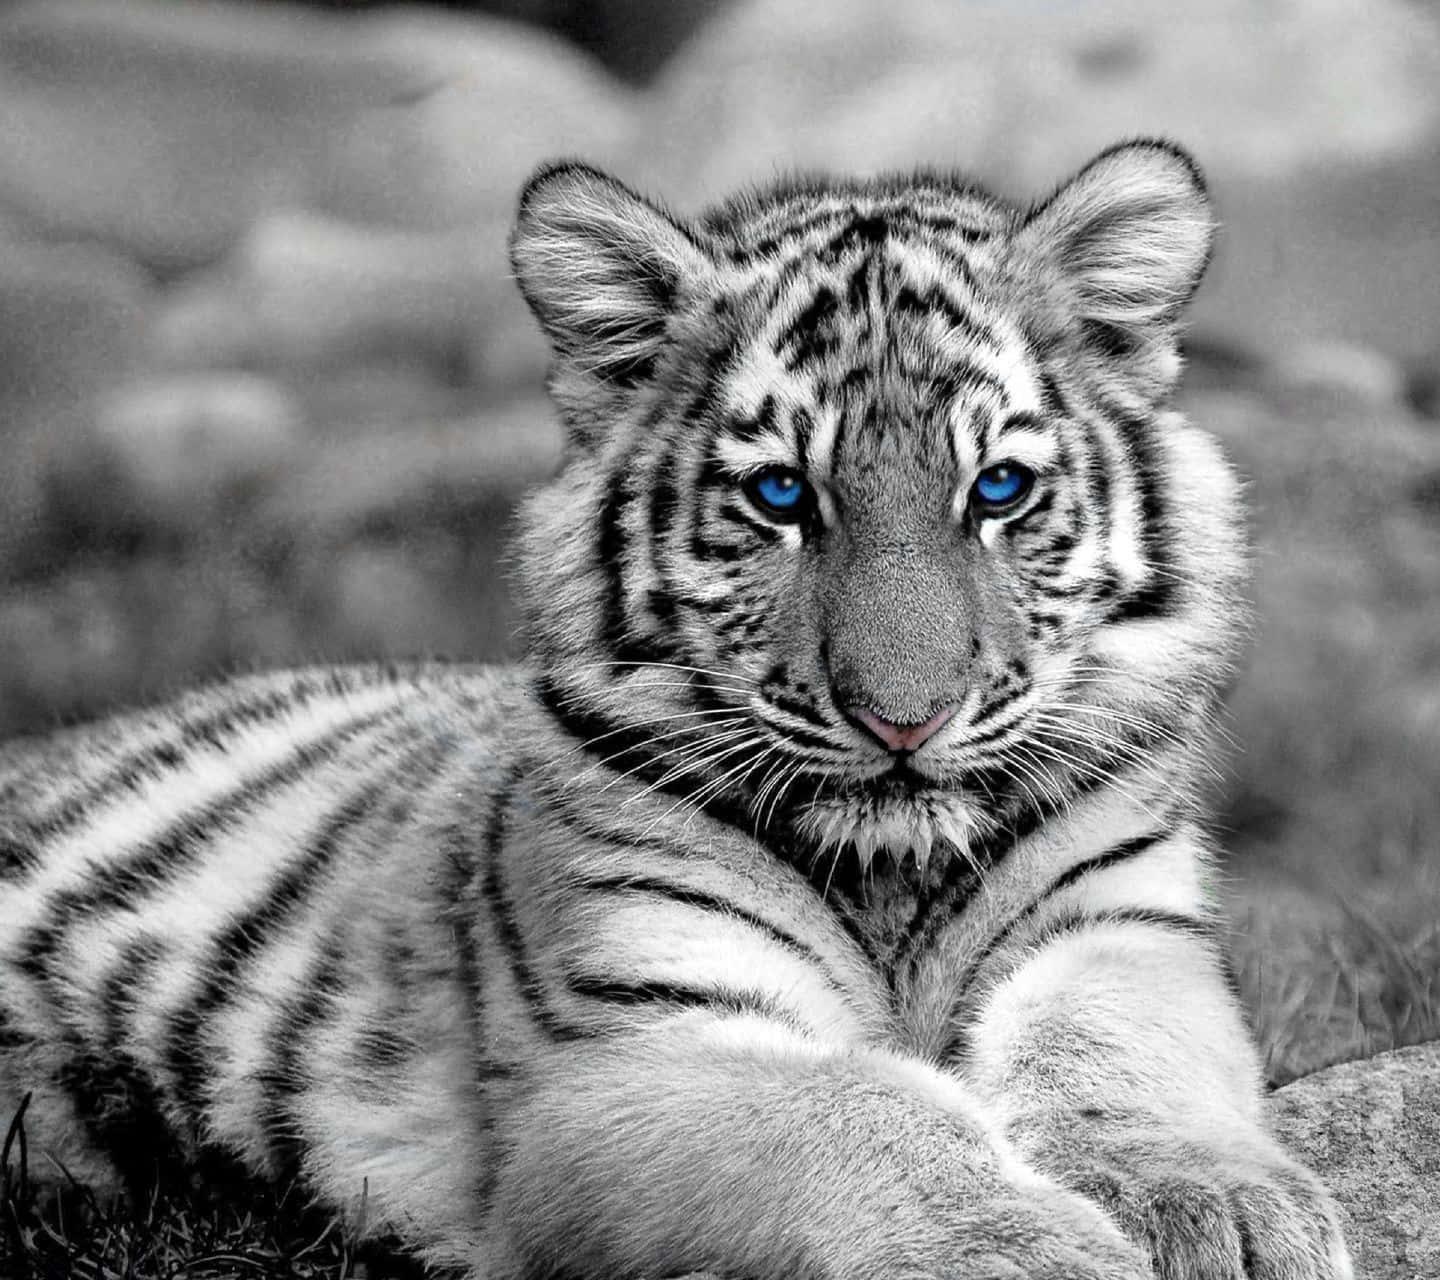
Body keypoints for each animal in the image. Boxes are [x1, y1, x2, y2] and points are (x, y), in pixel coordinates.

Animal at [0, 138, 1351, 1280]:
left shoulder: (1121, 933)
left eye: (1000, 489)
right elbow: (855, 1109)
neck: (892, 879)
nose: (904, 720)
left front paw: (1219, 1206)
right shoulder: (626, 1055)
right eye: (781, 495)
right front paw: (1025, 1248)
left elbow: (1118, 1057)